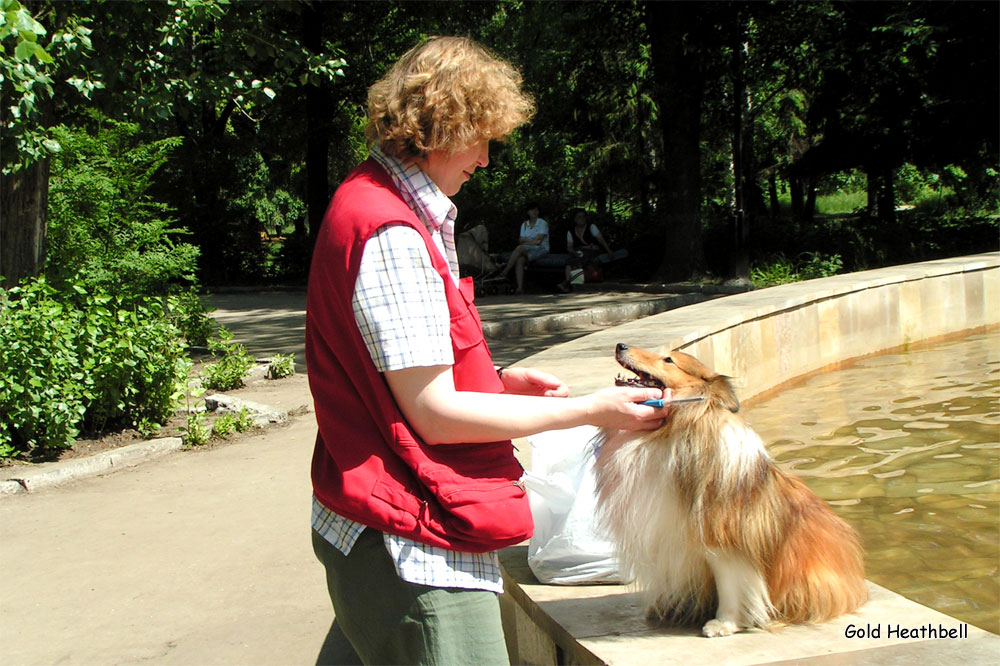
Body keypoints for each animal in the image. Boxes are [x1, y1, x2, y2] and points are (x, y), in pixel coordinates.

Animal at [592, 340, 868, 636]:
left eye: (668, 360)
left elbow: (732, 585)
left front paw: (723, 624)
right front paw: (675, 607)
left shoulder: (723, 538)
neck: (671, 430)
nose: (620, 345)